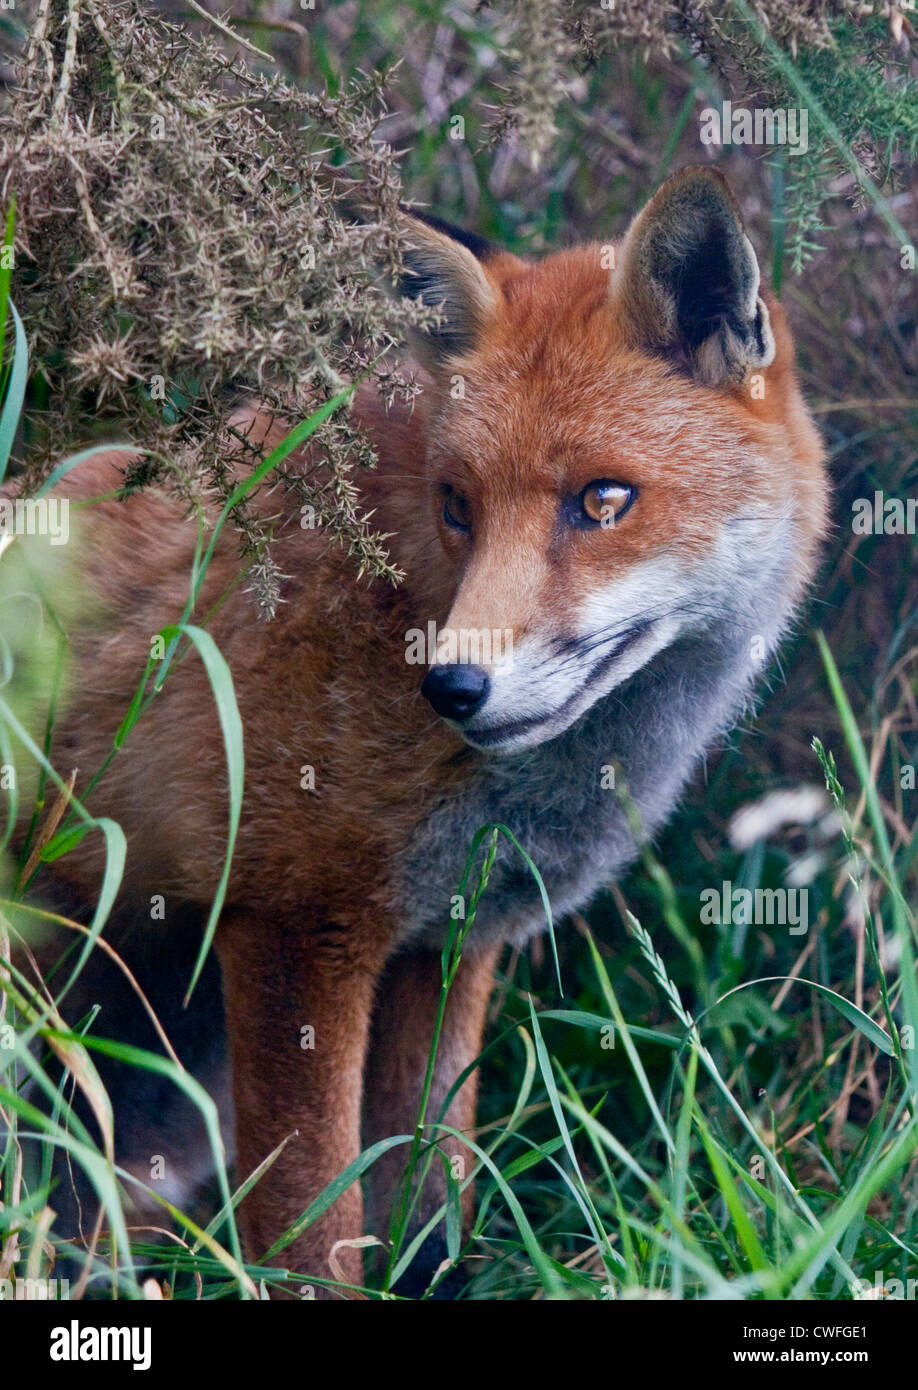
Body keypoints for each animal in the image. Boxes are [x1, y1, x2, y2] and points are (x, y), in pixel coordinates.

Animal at [5, 168, 823, 1295]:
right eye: (458, 506)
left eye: (604, 499)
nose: (456, 687)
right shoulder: (298, 923)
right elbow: (314, 1224)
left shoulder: (452, 942)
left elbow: (429, 1200)